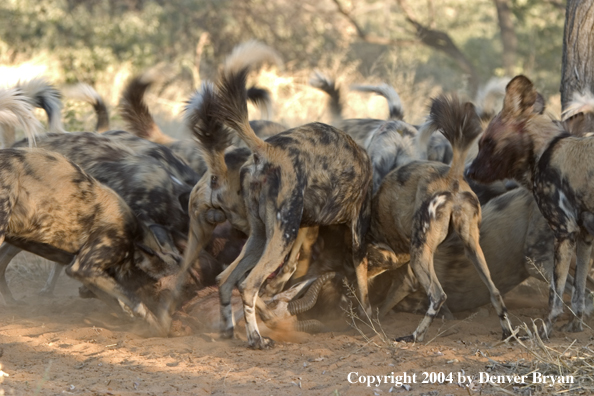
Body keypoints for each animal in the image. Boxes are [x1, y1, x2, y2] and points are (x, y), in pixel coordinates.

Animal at [206, 55, 368, 350]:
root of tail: (268, 149)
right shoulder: (357, 229)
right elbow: (364, 282)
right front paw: (369, 320)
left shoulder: (305, 226)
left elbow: (292, 266)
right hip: (281, 235)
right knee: (248, 284)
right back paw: (257, 339)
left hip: (262, 237)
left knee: (226, 279)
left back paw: (229, 331)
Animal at [372, 94, 512, 342]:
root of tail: (451, 175)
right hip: (471, 247)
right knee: (494, 291)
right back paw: (508, 332)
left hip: (420, 254)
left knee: (438, 295)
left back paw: (415, 335)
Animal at [464, 75, 592, 338]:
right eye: (480, 143)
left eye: (488, 142)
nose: (468, 172)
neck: (545, 150)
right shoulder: (584, 237)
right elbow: (579, 293)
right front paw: (575, 325)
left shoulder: (564, 233)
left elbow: (555, 298)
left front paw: (544, 332)